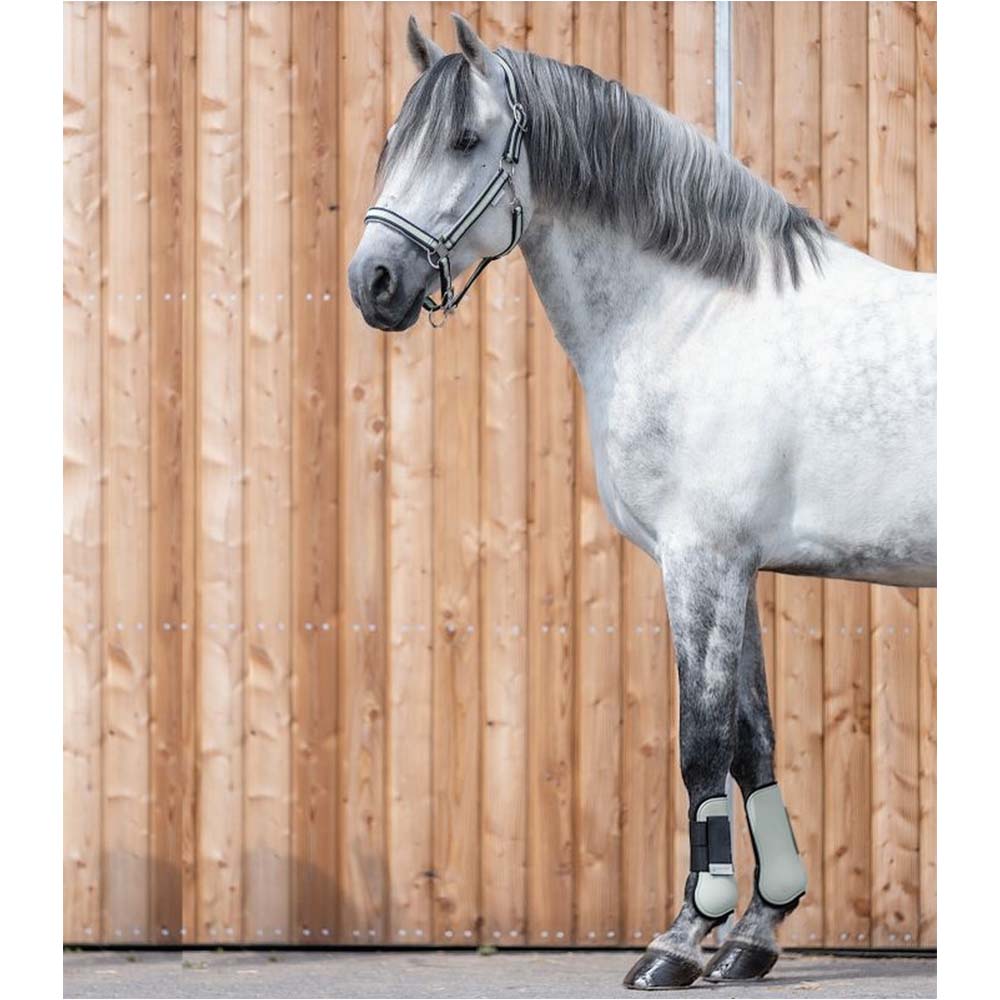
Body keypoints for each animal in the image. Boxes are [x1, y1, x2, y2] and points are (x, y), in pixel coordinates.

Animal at [348, 14, 936, 990]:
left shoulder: (701, 563)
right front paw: (753, 934)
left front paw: (679, 940)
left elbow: (701, 745)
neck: (698, 316)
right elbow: (751, 741)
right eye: (394, 143)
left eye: (464, 139)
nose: (374, 283)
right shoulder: (734, 569)